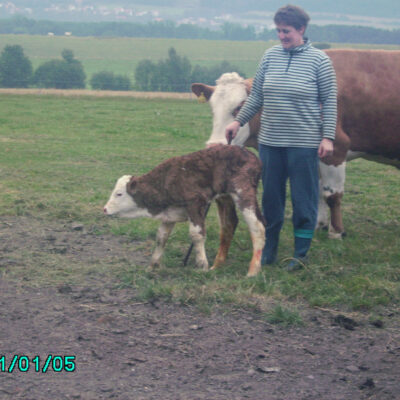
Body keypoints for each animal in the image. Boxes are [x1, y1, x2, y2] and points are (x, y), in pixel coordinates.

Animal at [103, 145, 266, 278]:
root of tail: (252, 157)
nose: (105, 209)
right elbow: (161, 237)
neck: (165, 180)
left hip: (244, 194)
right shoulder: (169, 214)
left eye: (119, 194)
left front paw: (202, 265)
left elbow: (196, 235)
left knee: (258, 227)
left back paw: (253, 271)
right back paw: (217, 265)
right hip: (225, 197)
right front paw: (153, 265)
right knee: (229, 224)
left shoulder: (195, 204)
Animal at [191, 49, 400, 244]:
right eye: (212, 109)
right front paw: (318, 224)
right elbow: (317, 191)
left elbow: (332, 195)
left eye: (239, 107)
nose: (214, 146)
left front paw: (336, 232)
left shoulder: (335, 150)